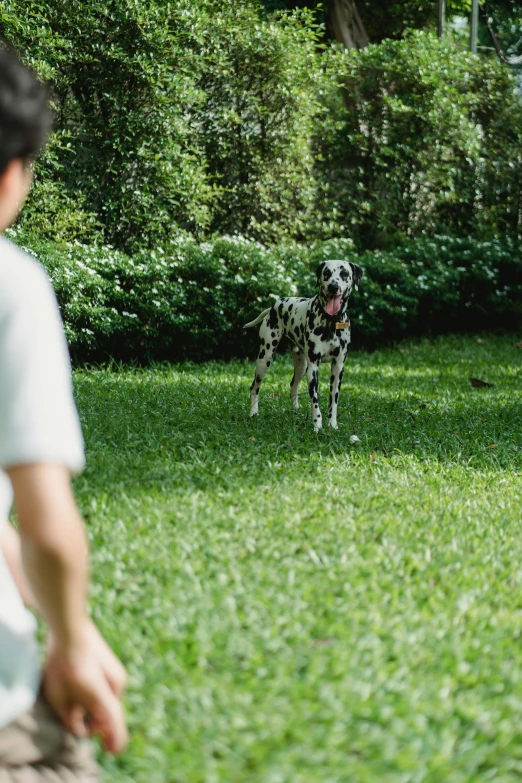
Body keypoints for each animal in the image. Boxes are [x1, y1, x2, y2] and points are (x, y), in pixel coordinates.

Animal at [244, 262, 362, 434]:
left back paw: (295, 411)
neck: (331, 323)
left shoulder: (338, 368)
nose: (333, 287)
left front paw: (332, 424)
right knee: (254, 387)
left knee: (293, 386)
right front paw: (317, 426)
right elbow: (315, 402)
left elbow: (333, 401)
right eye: (327, 273)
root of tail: (274, 306)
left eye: (344, 273)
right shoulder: (313, 368)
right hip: (264, 359)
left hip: (301, 366)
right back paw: (253, 413)